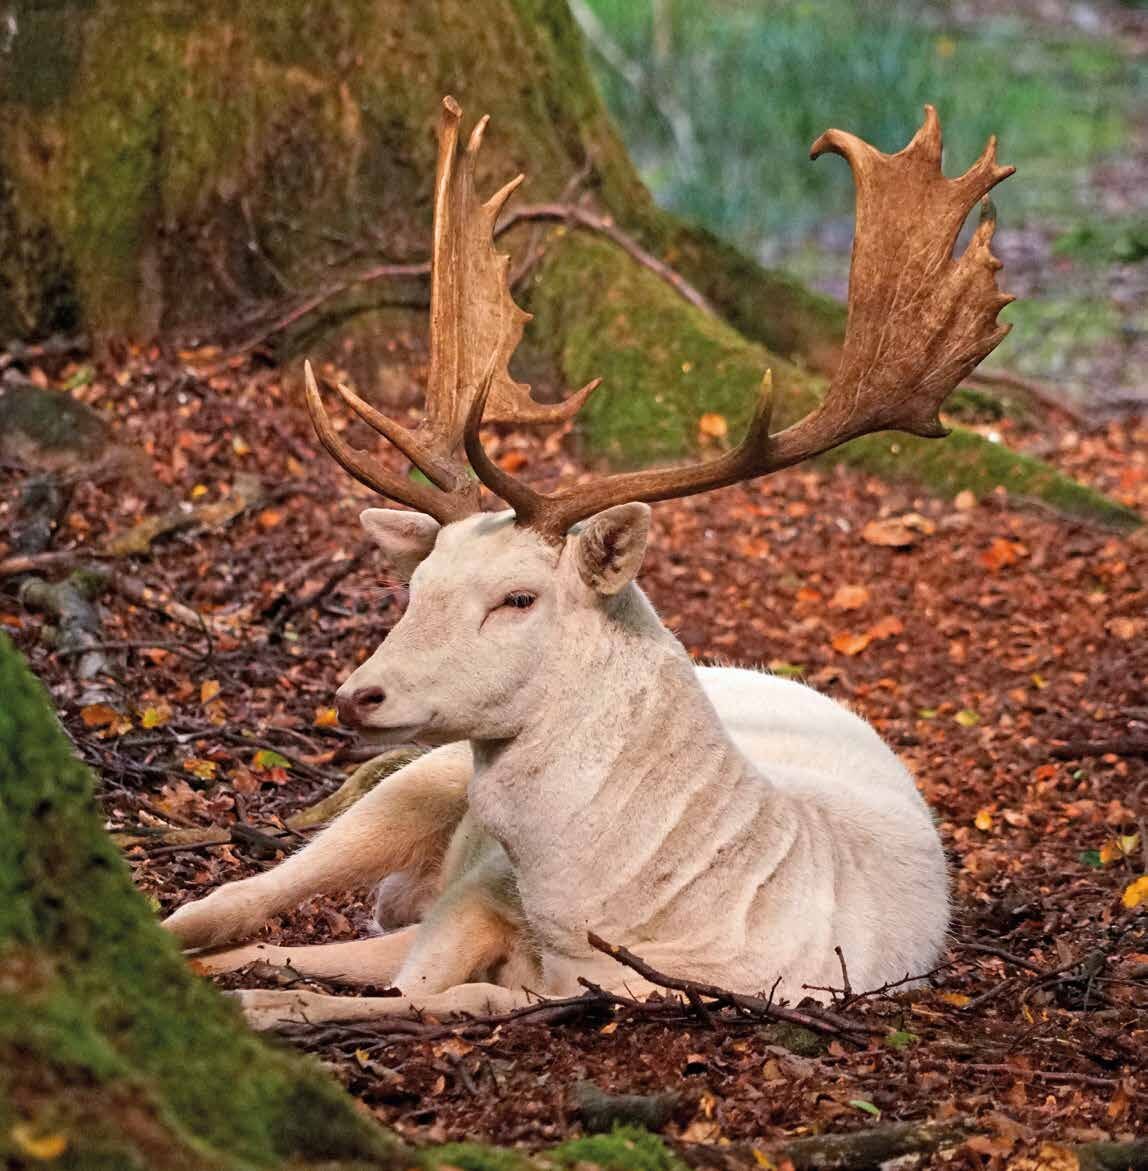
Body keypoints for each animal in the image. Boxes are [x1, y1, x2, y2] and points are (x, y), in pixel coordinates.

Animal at [164, 96, 1012, 1030]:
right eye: (414, 587)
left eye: (518, 597)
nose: (358, 695)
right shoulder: (476, 891)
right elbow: (403, 977)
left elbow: (442, 997)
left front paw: (266, 1004)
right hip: (419, 776)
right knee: (238, 894)